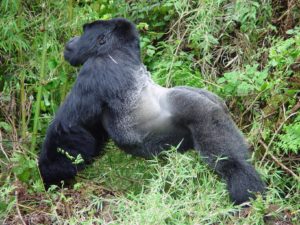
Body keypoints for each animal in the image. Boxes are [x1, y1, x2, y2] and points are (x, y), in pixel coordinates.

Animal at [38, 17, 264, 204]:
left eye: (84, 31)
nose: (72, 40)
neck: (118, 51)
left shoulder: (97, 69)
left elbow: (68, 128)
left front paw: (51, 176)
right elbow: (88, 135)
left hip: (204, 113)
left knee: (229, 161)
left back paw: (244, 186)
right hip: (215, 105)